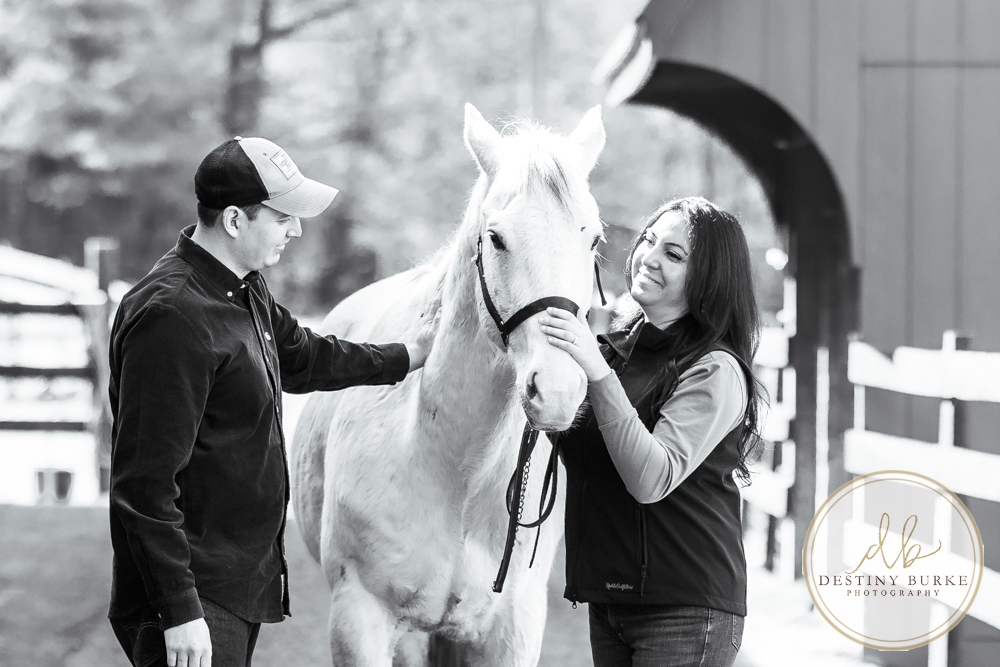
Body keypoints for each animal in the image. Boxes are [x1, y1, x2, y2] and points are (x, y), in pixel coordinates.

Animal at [290, 103, 606, 666]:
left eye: (592, 239)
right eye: (497, 238)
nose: (558, 390)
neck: (453, 471)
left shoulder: (511, 630)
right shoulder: (360, 618)